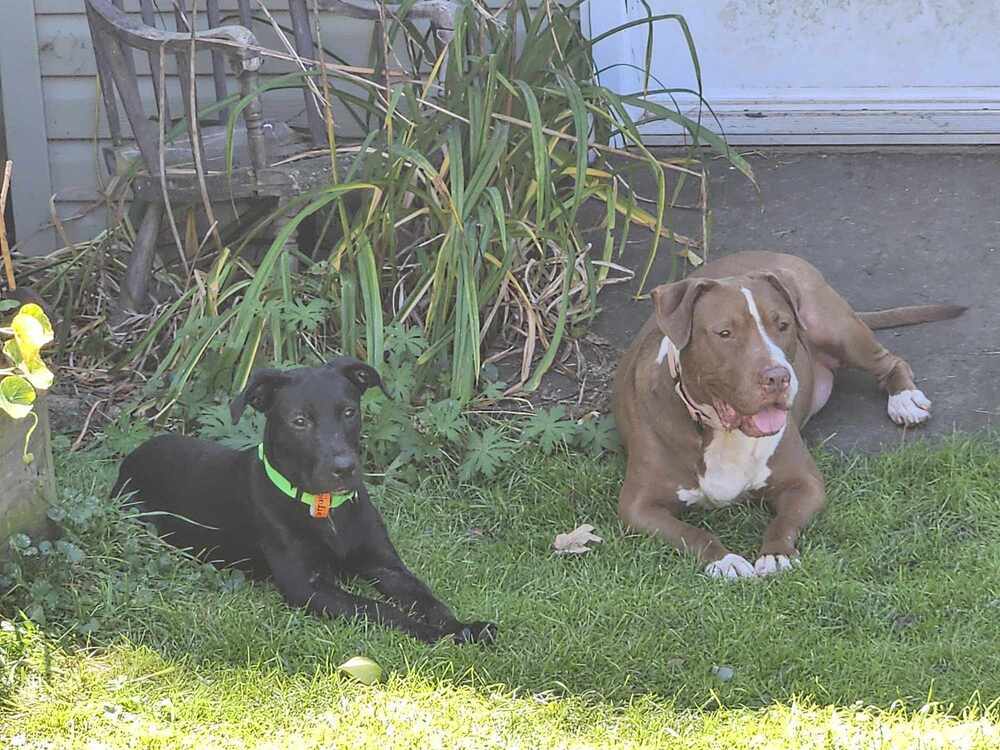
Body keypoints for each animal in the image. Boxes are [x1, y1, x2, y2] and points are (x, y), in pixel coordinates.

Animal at [115, 358, 498, 648]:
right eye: (299, 421)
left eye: (349, 412)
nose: (344, 468)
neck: (325, 507)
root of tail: (132, 454)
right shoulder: (306, 586)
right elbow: (376, 609)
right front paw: (432, 634)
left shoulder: (386, 565)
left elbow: (427, 597)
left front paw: (462, 627)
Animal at [612, 253, 964, 580]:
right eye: (724, 333)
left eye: (782, 325)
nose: (778, 377)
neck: (724, 432)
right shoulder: (638, 506)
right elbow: (691, 533)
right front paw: (724, 560)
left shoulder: (805, 482)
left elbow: (784, 521)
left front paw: (776, 554)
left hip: (831, 325)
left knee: (889, 361)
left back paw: (905, 400)